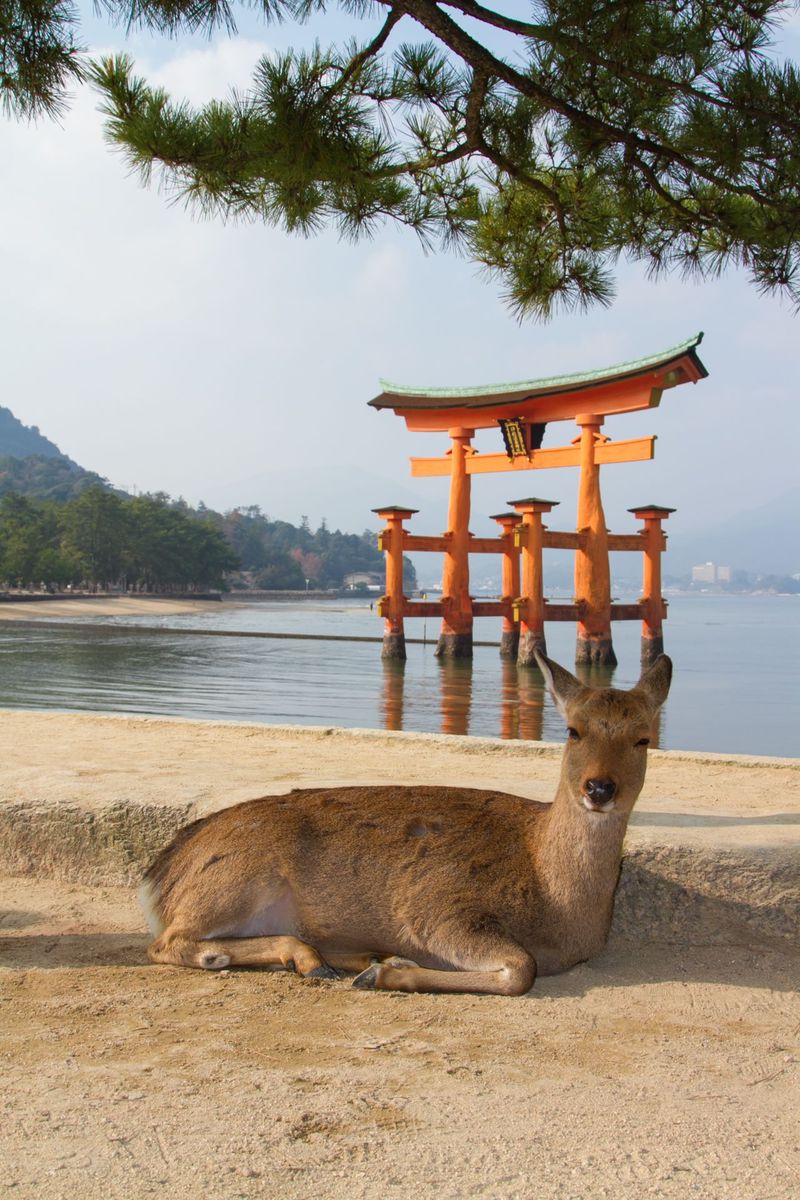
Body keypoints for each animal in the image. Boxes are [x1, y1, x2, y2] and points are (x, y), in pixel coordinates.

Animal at [137, 652, 671, 998]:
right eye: (572, 730)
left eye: (644, 738)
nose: (599, 788)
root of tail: (159, 877)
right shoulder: (437, 907)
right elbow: (521, 970)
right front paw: (388, 976)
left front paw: (383, 968)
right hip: (239, 879)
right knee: (164, 943)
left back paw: (338, 959)